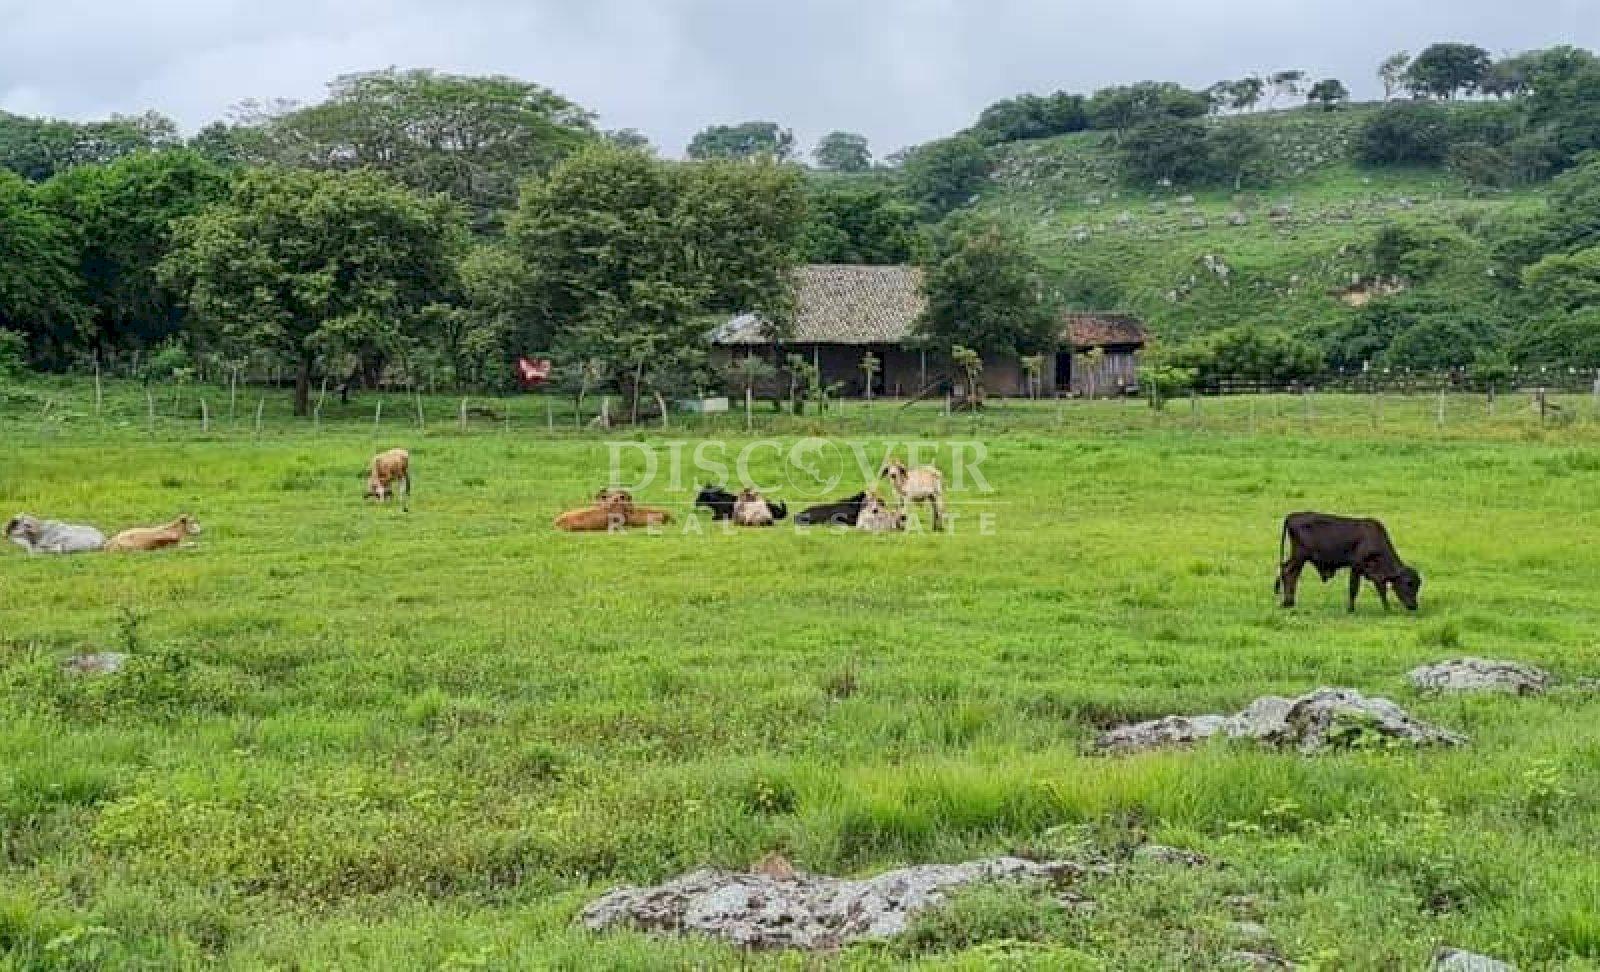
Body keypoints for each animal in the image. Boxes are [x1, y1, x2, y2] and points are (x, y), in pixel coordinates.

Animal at [1277, 512, 1422, 612]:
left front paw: (1387, 609)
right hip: (1299, 556)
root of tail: (1292, 515)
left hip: (1299, 558)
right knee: (1288, 572)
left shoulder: (1376, 574)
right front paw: (1350, 609)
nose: (1414, 606)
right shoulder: (1356, 567)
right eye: (1409, 583)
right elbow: (1353, 589)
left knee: (1290, 573)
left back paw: (1289, 602)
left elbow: (1381, 590)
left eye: (1418, 584)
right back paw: (1287, 602)